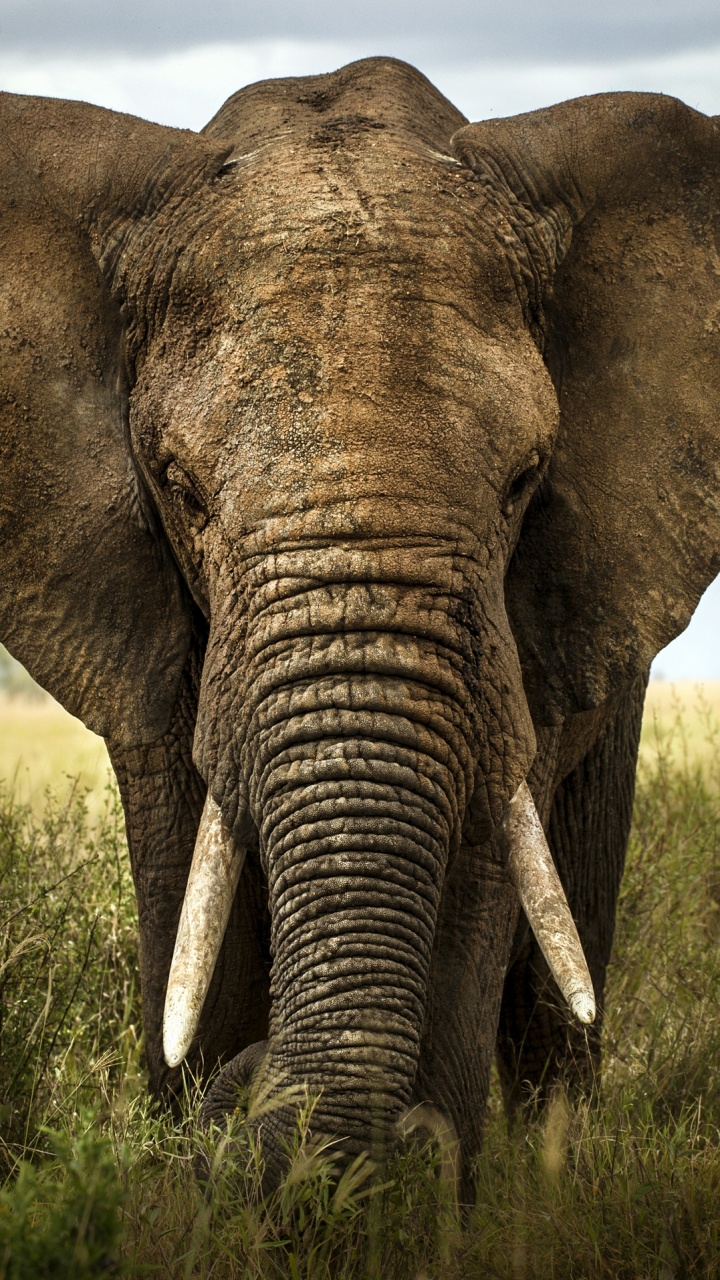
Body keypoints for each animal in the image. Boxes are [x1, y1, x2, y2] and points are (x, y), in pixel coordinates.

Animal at [2, 55, 720, 1194]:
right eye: (180, 488)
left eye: (524, 481)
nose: (252, 1094)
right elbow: (188, 873)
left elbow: (481, 859)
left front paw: (407, 1191)